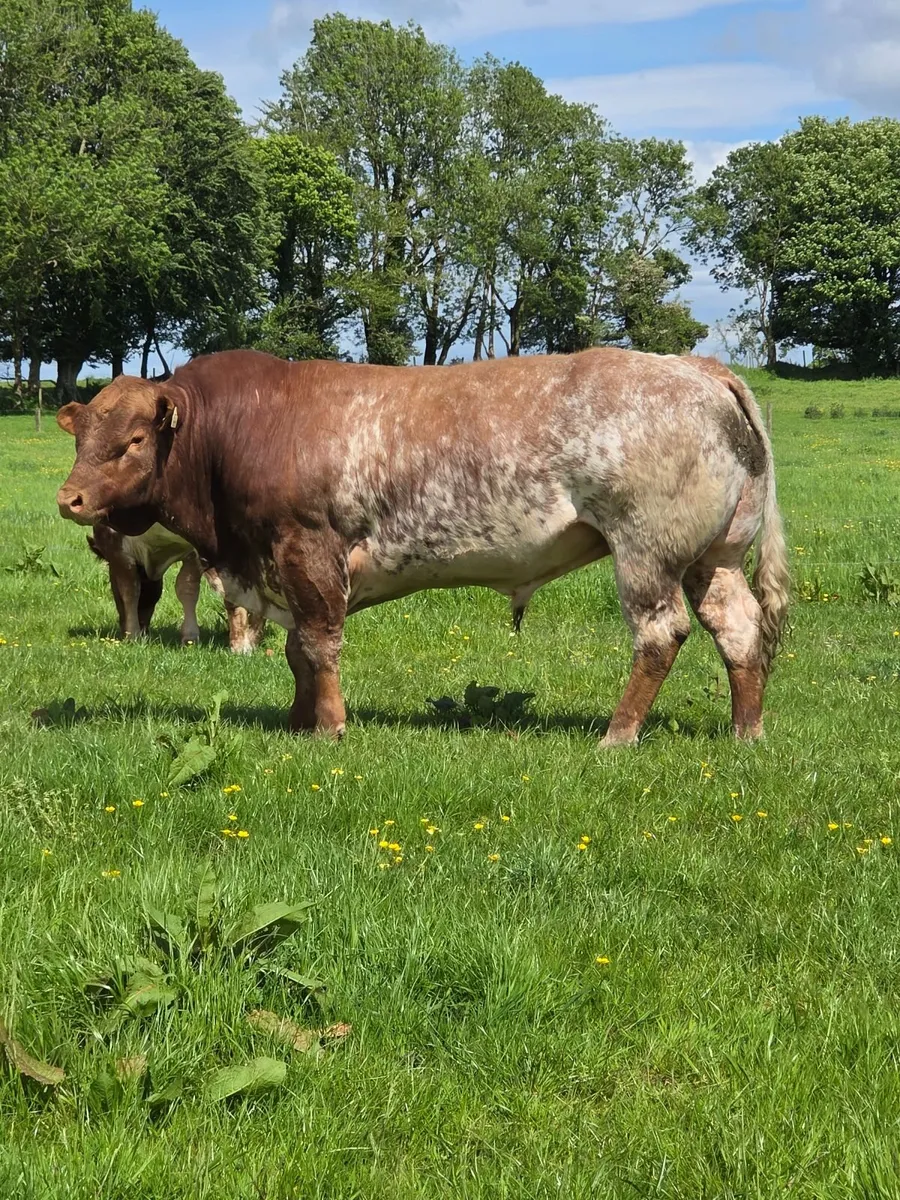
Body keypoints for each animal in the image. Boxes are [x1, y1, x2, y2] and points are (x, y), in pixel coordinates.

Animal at [86, 523, 265, 653]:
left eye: (112, 585)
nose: (123, 629)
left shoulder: (116, 546)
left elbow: (130, 590)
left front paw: (132, 636)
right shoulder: (192, 554)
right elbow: (187, 588)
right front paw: (190, 638)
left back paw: (240, 645)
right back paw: (253, 637)